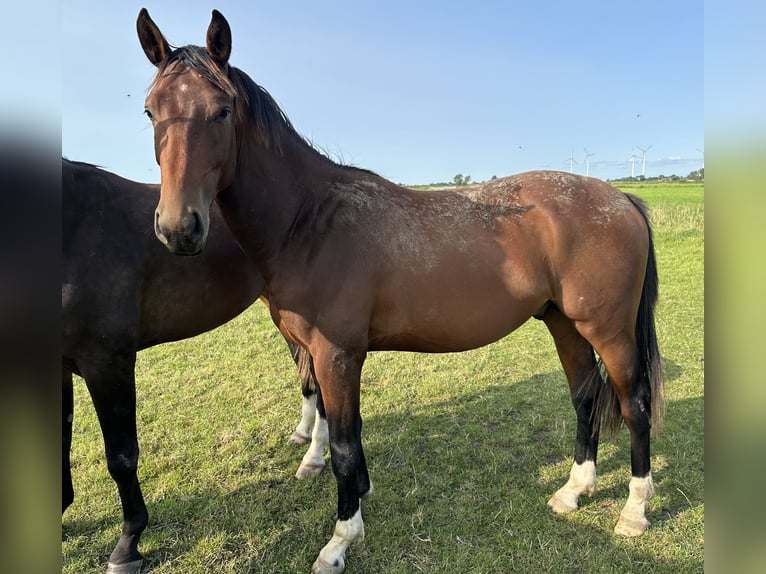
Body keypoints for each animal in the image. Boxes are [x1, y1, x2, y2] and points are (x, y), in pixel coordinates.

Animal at [138, 10, 664, 574]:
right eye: (150, 111)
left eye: (222, 110)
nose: (179, 228)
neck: (310, 221)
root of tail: (621, 199)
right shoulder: (323, 356)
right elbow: (344, 430)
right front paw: (359, 495)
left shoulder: (337, 355)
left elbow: (344, 446)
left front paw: (340, 540)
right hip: (564, 323)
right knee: (586, 396)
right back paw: (574, 491)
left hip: (609, 331)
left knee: (634, 404)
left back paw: (634, 511)